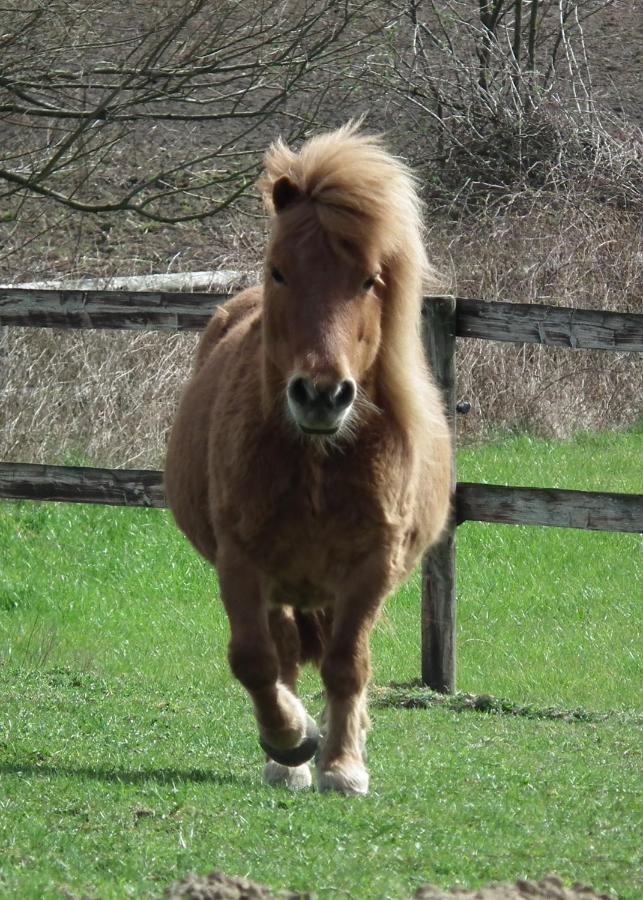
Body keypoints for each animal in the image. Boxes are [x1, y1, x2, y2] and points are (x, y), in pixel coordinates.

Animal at [164, 125, 450, 796]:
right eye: (280, 272)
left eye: (370, 280)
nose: (321, 394)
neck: (317, 461)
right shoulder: (242, 562)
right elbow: (253, 659)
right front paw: (291, 740)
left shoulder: (371, 566)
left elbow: (348, 664)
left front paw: (342, 766)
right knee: (285, 653)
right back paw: (287, 757)